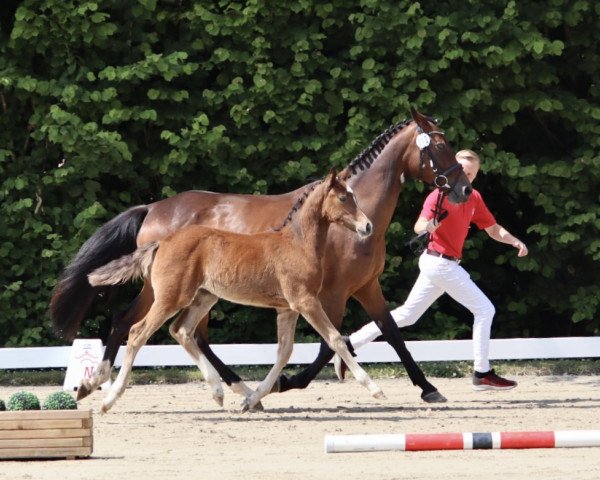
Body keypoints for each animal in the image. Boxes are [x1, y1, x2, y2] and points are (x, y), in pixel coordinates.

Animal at [86, 170, 382, 412]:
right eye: (343, 198)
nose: (367, 226)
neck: (297, 243)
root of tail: (162, 242)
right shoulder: (305, 301)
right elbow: (335, 339)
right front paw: (374, 389)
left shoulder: (286, 308)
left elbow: (284, 352)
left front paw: (251, 399)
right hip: (170, 297)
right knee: (137, 333)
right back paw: (108, 399)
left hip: (203, 297)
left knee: (181, 331)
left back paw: (218, 392)